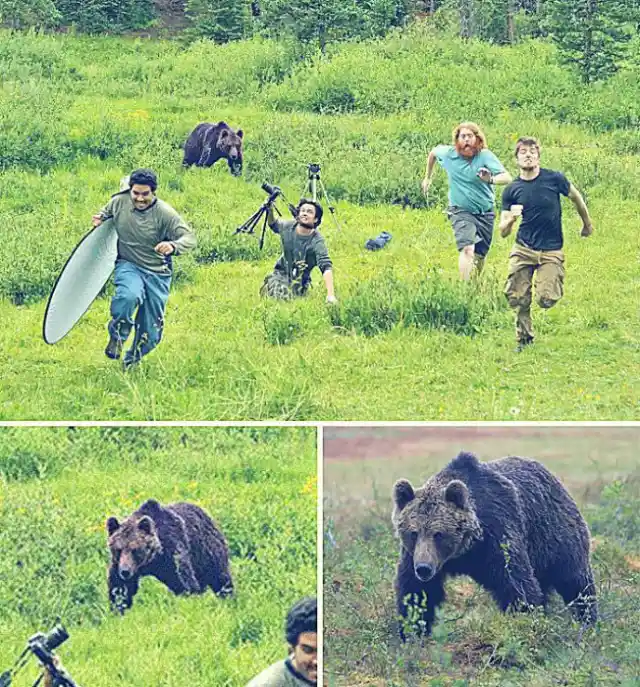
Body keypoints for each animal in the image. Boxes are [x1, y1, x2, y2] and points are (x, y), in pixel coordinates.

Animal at [106, 498, 234, 616]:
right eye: (118, 549)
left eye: (135, 550)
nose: (125, 571)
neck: (151, 561)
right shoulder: (119, 565)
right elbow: (120, 589)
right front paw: (118, 609)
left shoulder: (172, 552)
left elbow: (185, 583)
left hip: (208, 551)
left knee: (220, 578)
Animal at [392, 452, 596, 640]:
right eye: (413, 532)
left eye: (438, 534)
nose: (424, 568)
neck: (465, 551)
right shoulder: (414, 555)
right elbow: (416, 592)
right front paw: (412, 632)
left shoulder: (498, 535)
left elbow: (517, 584)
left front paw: (524, 623)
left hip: (557, 536)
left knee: (576, 582)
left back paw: (587, 622)